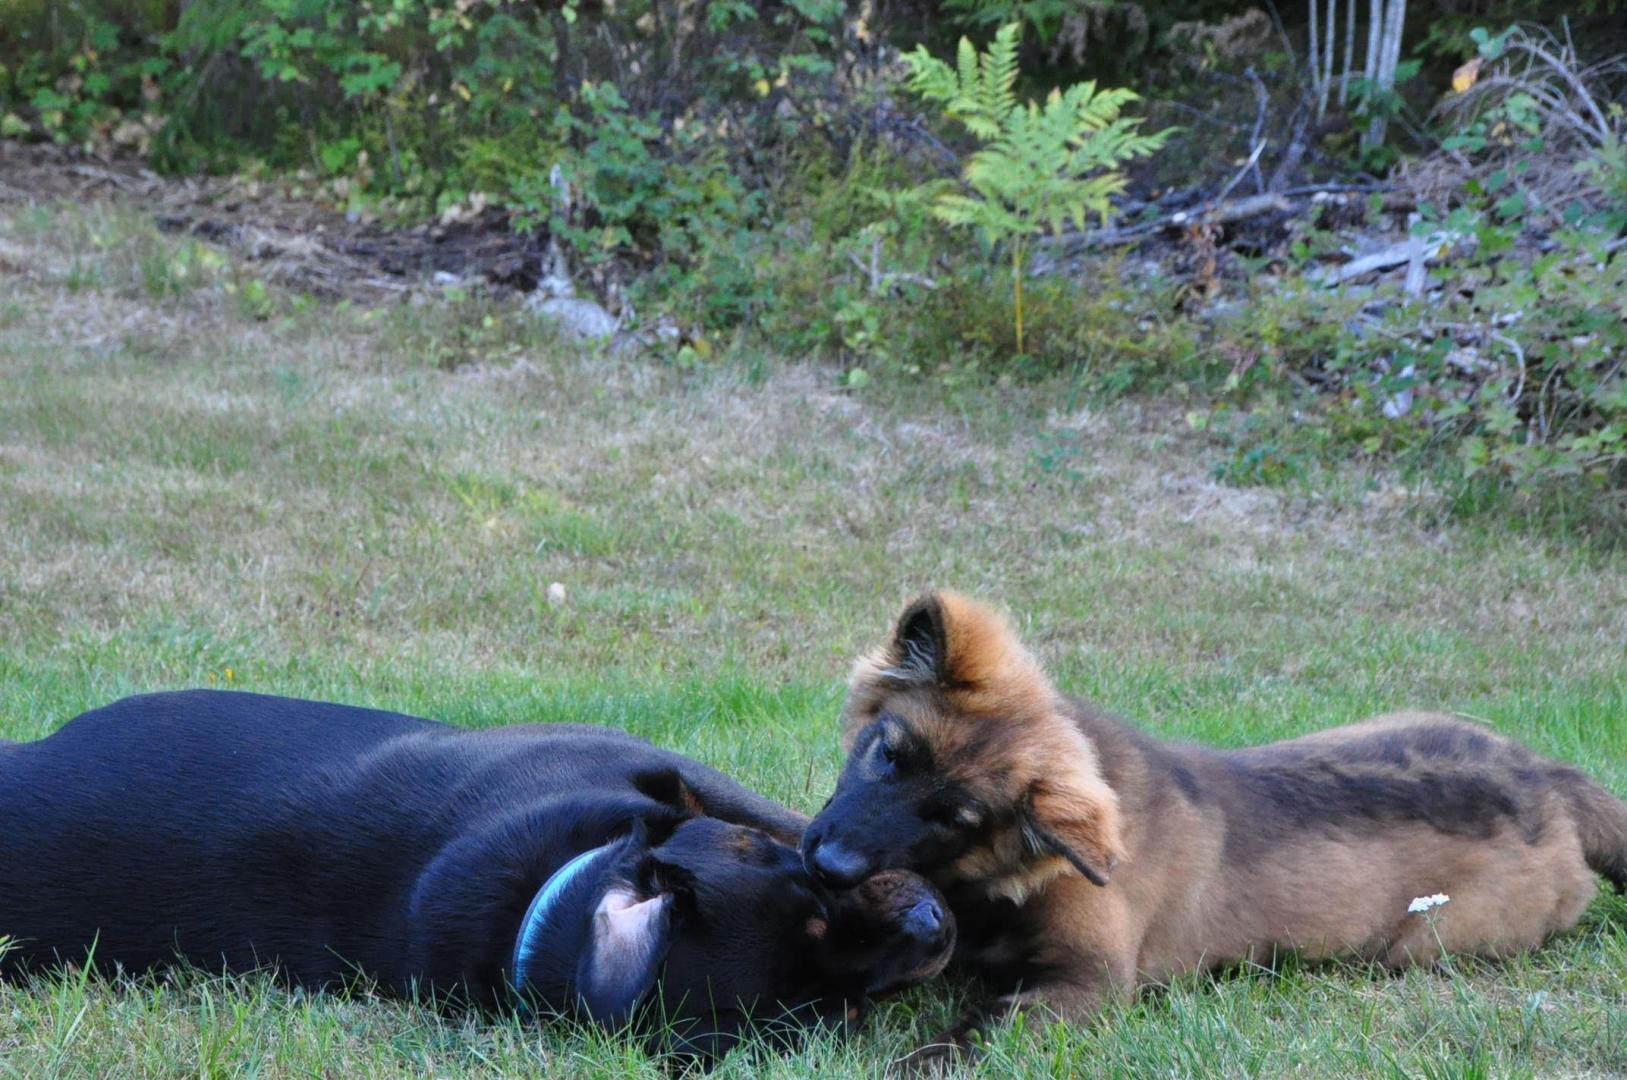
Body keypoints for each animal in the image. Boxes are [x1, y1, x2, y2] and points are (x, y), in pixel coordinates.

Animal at [0, 690, 954, 1057]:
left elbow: (782, 814)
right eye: (841, 1012)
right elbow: (798, 819)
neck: (543, 900)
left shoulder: (681, 782)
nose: (935, 932)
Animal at [801, 592, 1627, 1062]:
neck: (1005, 880)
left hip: (1431, 942)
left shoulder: (1087, 984)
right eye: (886, 754)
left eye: (956, 818)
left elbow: (973, 1034)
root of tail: (1548, 776)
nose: (825, 865)